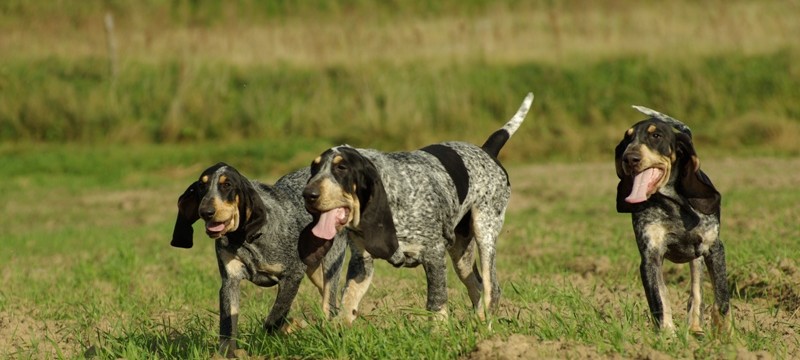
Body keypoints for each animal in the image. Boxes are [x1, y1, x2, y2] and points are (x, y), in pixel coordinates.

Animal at [170, 164, 346, 358]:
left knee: (329, 302)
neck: (243, 238)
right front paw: (225, 355)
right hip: (314, 271)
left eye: (227, 185)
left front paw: (289, 329)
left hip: (331, 260)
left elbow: (274, 317)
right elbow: (227, 327)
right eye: (202, 186)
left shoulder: (292, 275)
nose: (205, 212)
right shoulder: (229, 283)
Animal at [296, 92, 536, 324]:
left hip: (485, 231)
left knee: (491, 288)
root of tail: (487, 150)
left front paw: (437, 332)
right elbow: (348, 302)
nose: (308, 194)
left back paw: (483, 328)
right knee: (476, 285)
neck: (393, 197)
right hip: (461, 253)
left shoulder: (434, 253)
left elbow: (436, 303)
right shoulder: (361, 262)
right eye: (314, 168)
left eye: (341, 168)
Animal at [620, 105, 732, 336]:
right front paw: (667, 334)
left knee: (696, 292)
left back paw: (696, 328)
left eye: (656, 136)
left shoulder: (714, 248)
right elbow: (659, 301)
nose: (629, 158)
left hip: (698, 258)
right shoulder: (650, 257)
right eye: (627, 139)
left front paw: (724, 335)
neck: (673, 204)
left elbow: (722, 298)